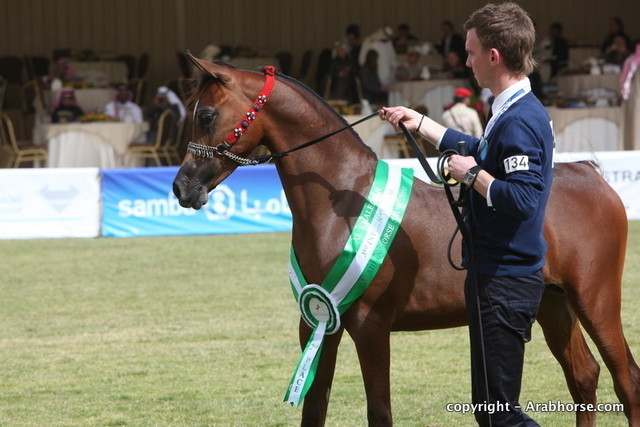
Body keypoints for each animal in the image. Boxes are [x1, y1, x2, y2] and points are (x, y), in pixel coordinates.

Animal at [172, 54, 640, 426]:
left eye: (207, 115)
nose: (181, 187)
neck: (342, 202)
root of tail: (590, 174)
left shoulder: (371, 327)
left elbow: (379, 413)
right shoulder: (317, 324)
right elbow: (314, 408)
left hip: (595, 301)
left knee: (626, 381)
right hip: (552, 305)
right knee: (584, 378)